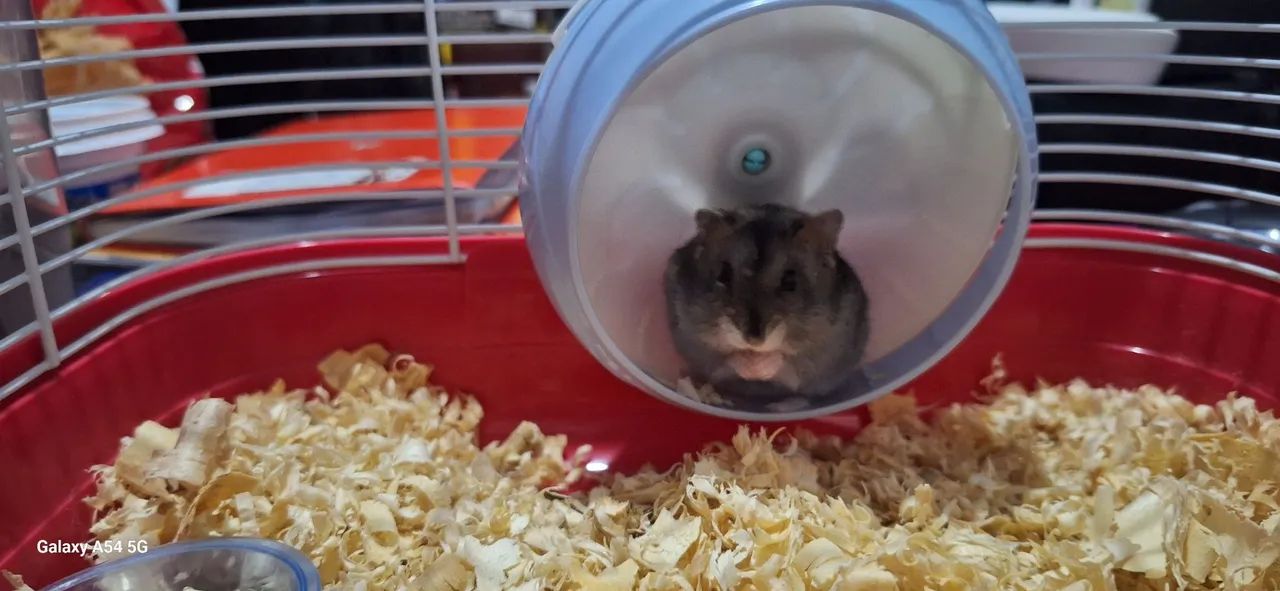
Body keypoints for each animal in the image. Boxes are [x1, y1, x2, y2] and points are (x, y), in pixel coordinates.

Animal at [664, 203, 870, 401]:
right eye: (723, 275)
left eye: (790, 282)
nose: (753, 341)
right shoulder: (696, 343)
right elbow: (728, 359)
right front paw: (750, 364)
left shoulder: (820, 353)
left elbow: (785, 362)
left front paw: (759, 366)